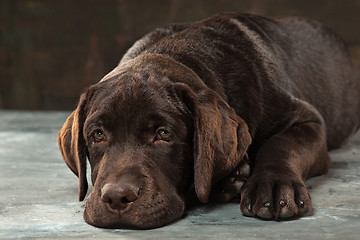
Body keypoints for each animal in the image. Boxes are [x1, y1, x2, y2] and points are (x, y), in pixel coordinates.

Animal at [57, 12, 360, 229]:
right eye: (97, 135)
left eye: (164, 134)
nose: (117, 197)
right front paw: (230, 179)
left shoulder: (308, 120)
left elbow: (283, 143)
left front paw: (273, 185)